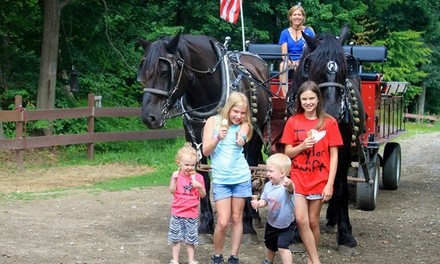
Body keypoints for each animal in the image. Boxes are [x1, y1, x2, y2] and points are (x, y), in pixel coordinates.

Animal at [138, 34, 272, 244]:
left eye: (165, 72)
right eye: (143, 72)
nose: (148, 117)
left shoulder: (244, 142)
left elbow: (243, 176)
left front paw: (246, 226)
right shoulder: (196, 141)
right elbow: (204, 179)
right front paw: (205, 225)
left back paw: (252, 217)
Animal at [288, 25, 362, 251]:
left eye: (345, 65)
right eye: (311, 64)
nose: (332, 112)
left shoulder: (344, 150)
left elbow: (342, 189)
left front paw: (346, 235)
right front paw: (296, 233)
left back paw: (333, 218)